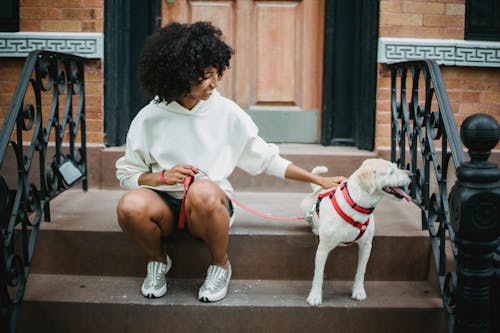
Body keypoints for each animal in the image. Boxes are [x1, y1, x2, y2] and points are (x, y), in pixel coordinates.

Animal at [300, 157, 410, 304]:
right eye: (391, 172)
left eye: (396, 167)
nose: (411, 174)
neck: (357, 205)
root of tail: (319, 189)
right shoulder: (323, 248)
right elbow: (318, 274)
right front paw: (315, 296)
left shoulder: (366, 246)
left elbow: (361, 271)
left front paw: (358, 291)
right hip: (305, 209)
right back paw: (315, 229)